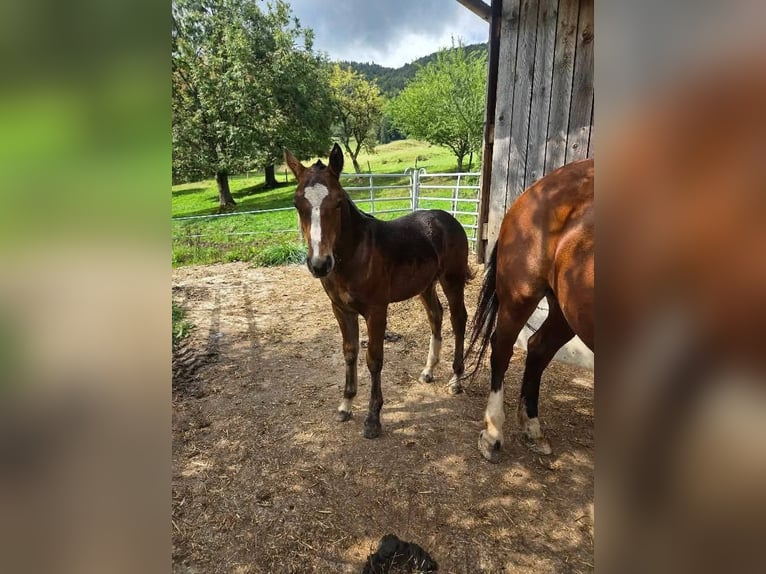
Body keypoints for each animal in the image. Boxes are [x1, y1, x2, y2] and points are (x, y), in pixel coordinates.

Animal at [284, 143, 472, 439]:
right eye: (297, 204)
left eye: (338, 202)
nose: (320, 264)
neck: (356, 254)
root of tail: (447, 218)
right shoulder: (341, 309)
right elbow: (349, 352)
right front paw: (345, 406)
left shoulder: (376, 311)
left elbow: (374, 359)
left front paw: (373, 419)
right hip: (425, 285)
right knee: (436, 316)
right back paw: (428, 370)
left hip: (452, 280)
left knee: (458, 319)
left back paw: (455, 379)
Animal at [467, 158, 594, 462]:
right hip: (520, 296)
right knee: (502, 348)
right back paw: (493, 434)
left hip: (566, 310)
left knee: (538, 347)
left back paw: (532, 426)